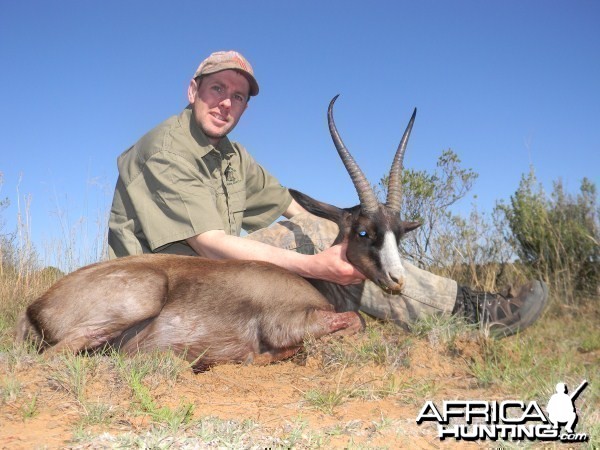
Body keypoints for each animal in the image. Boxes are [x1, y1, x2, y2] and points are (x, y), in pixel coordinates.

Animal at [14, 94, 418, 370]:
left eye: (400, 231)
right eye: (363, 231)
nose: (397, 280)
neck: (315, 284)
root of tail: (35, 308)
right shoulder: (288, 323)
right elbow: (355, 321)